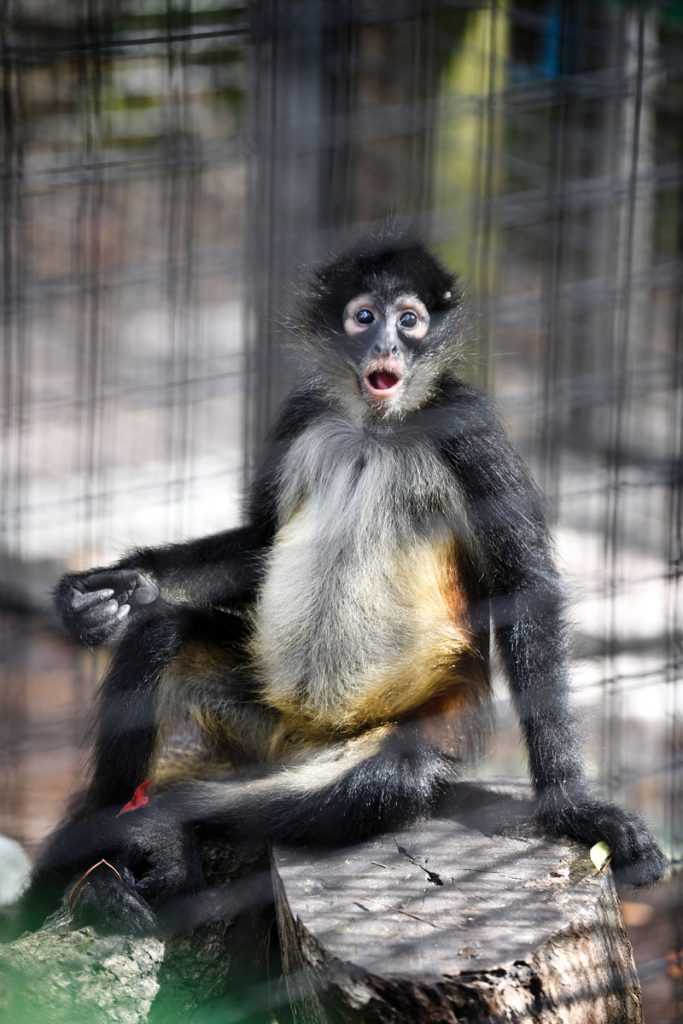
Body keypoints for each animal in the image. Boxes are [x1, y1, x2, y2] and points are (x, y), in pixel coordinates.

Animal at [17, 232, 665, 936]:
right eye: (364, 317)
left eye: (409, 321)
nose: (385, 347)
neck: (375, 425)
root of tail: (300, 744)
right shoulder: (303, 410)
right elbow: (260, 543)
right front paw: (116, 588)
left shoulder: (468, 424)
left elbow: (524, 585)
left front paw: (575, 808)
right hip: (256, 719)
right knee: (163, 633)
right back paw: (99, 857)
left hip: (407, 728)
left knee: (399, 775)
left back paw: (167, 825)